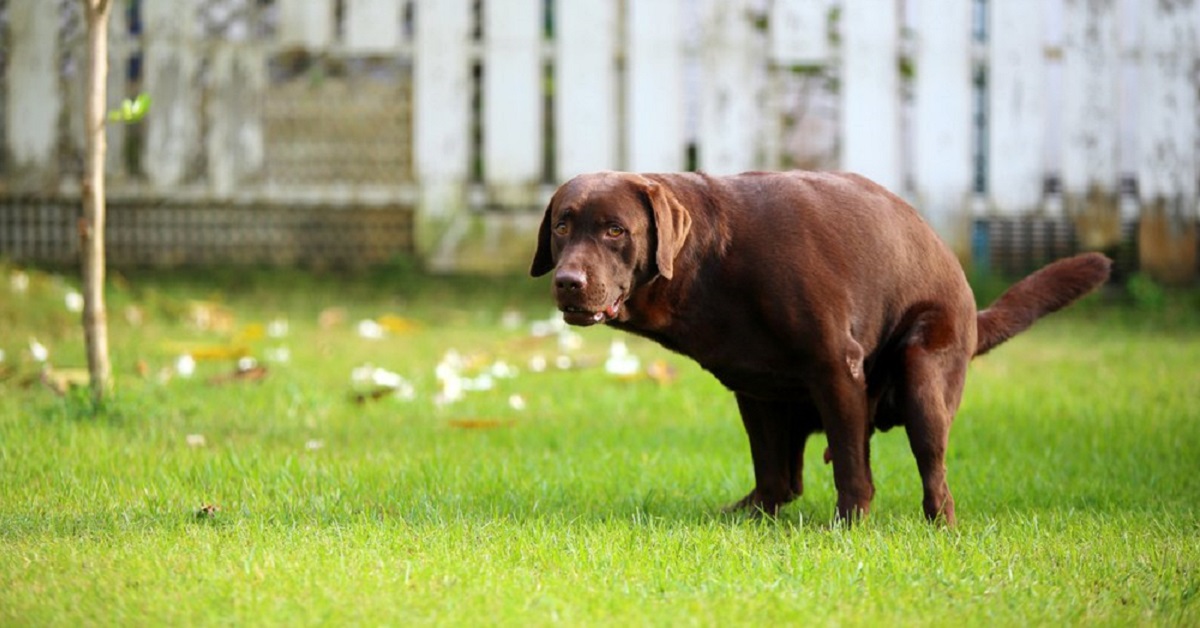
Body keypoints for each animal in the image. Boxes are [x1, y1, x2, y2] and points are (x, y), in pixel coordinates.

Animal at [530, 169, 1108, 523]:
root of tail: (969, 301)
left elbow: (853, 468)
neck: (712, 260)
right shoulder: (754, 389)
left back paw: (939, 527)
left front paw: (848, 527)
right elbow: (771, 470)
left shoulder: (836, 367)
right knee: (788, 480)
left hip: (924, 370)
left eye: (614, 230)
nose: (568, 282)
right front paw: (752, 520)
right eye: (562, 225)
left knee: (934, 474)